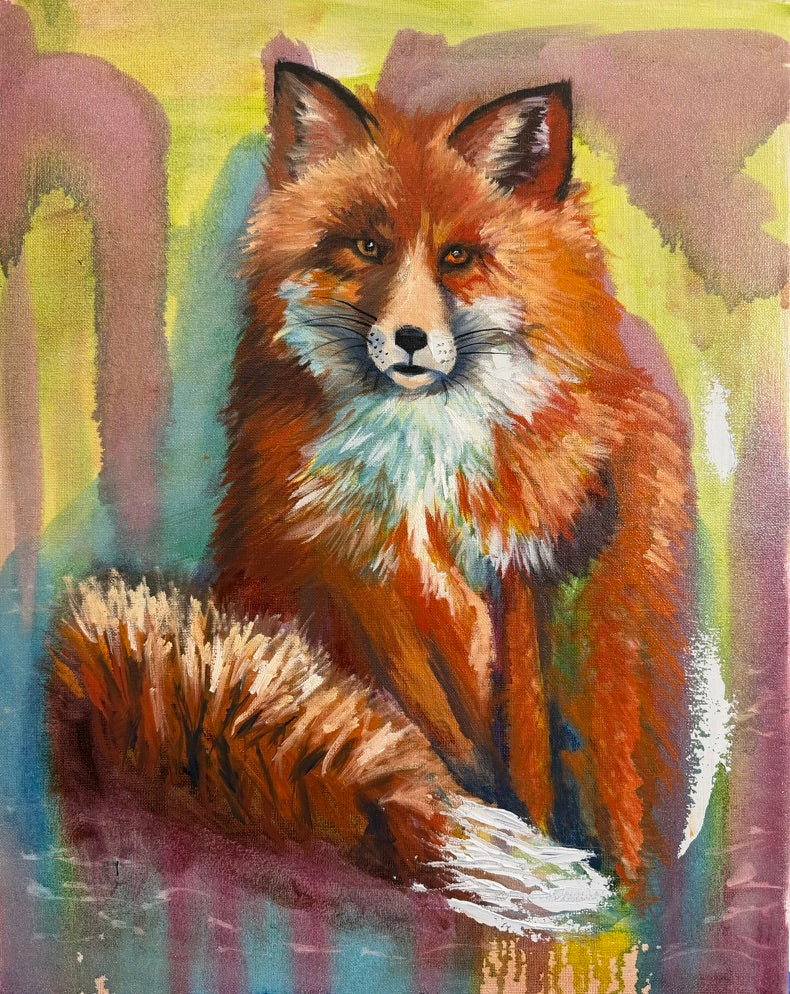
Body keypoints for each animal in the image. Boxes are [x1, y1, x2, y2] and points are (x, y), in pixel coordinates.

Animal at [49, 61, 692, 914]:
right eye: (366, 246)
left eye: (458, 257)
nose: (411, 339)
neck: (424, 465)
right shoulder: (355, 583)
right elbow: (419, 727)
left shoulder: (530, 573)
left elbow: (533, 745)